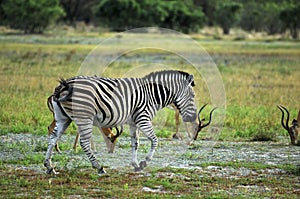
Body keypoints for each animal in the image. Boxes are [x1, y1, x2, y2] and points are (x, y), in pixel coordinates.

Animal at [45, 70, 202, 174]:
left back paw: (49, 166)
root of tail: (64, 85)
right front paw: (145, 162)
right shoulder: (143, 118)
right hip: (84, 117)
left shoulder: (134, 122)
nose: (193, 117)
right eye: (193, 95)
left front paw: (136, 164)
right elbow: (155, 140)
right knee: (84, 143)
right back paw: (99, 167)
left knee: (53, 137)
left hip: (63, 118)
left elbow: (135, 143)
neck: (152, 94)